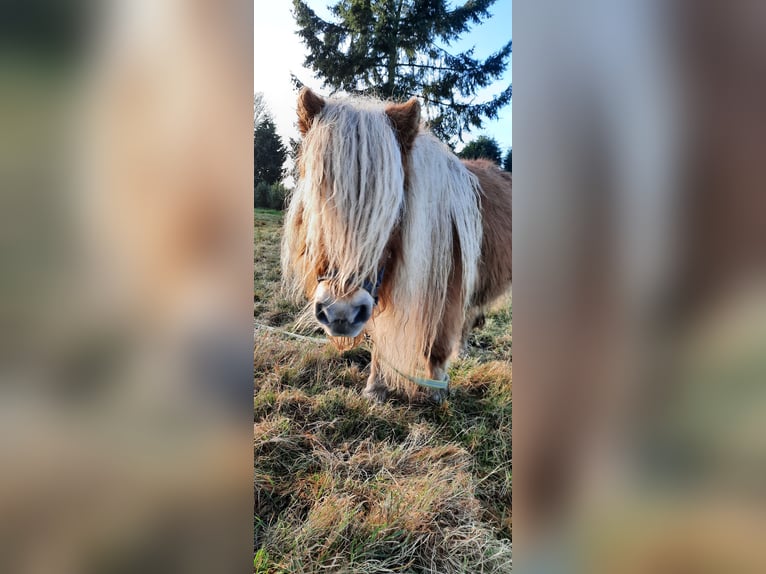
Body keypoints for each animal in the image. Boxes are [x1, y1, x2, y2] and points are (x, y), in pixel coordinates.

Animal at [280, 89, 510, 404]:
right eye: (317, 203)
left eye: (391, 208)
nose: (340, 313)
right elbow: (382, 342)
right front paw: (375, 389)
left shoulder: (447, 295)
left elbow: (436, 347)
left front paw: (436, 392)